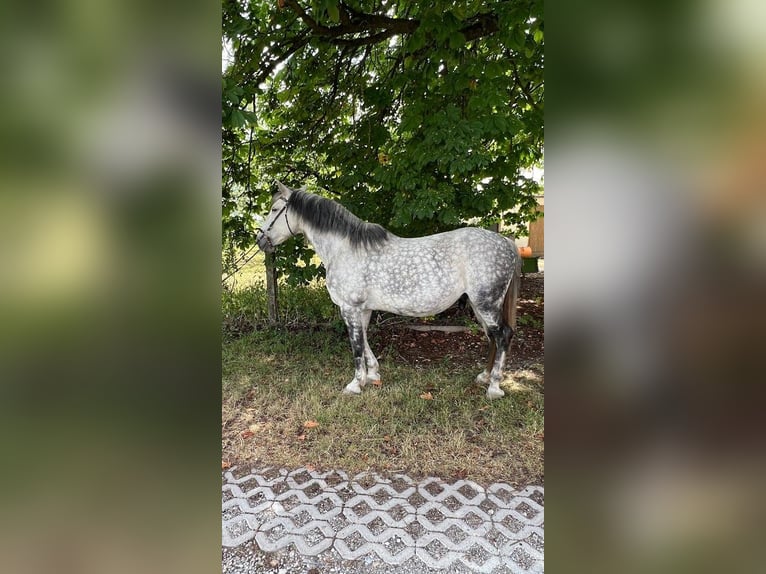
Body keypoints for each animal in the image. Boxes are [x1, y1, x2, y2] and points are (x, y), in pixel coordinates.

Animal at [255, 182, 521, 399]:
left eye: (274, 209)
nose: (260, 240)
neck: (343, 248)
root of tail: (506, 242)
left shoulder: (349, 308)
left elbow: (356, 345)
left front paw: (355, 383)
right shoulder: (362, 309)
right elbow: (364, 338)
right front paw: (372, 374)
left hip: (486, 303)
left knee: (503, 335)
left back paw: (494, 387)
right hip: (479, 305)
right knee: (492, 337)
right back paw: (484, 377)